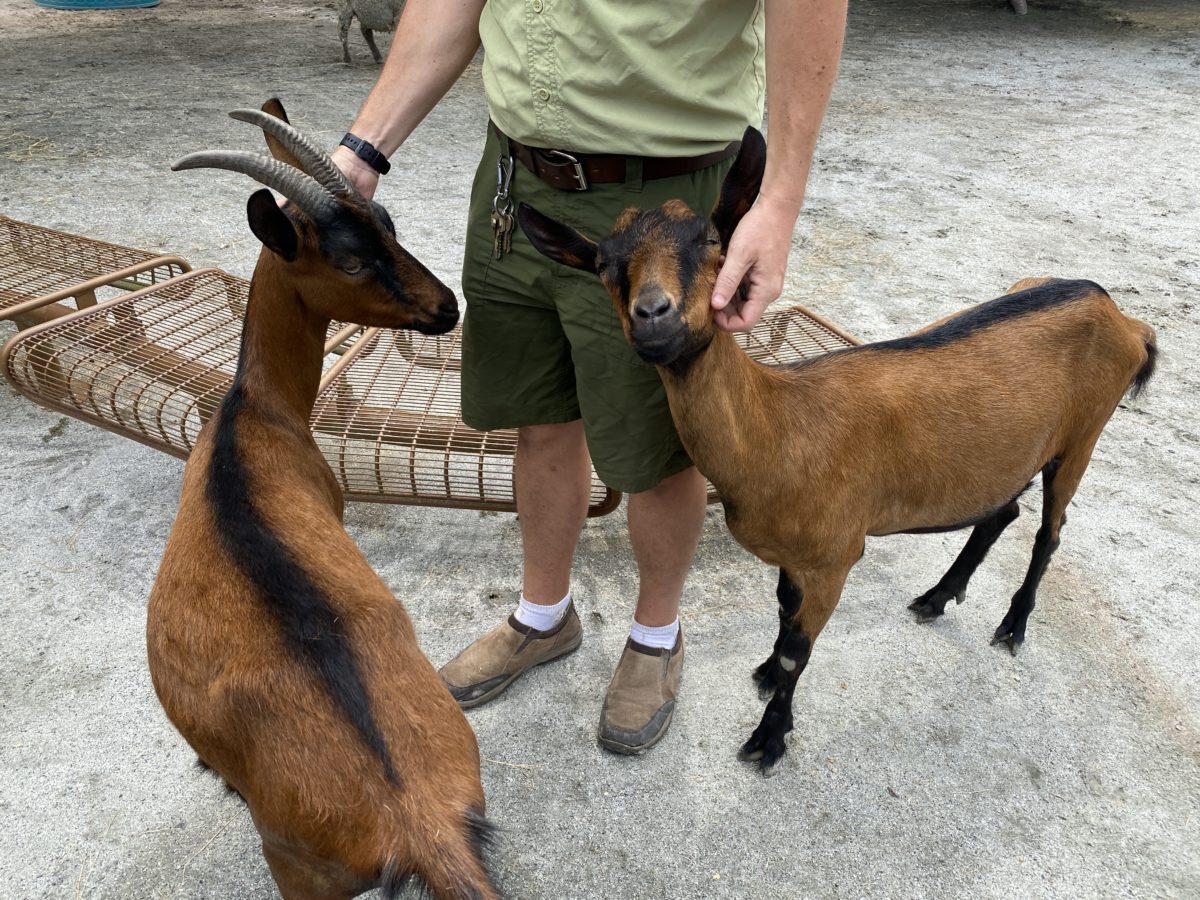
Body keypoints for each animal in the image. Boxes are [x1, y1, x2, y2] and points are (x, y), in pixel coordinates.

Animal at [147, 102, 499, 897]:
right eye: (353, 258)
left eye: (388, 222)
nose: (446, 307)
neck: (255, 413)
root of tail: (418, 821)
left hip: (294, 866)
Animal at [520, 125, 1156, 777]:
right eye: (604, 263)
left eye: (711, 241)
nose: (653, 316)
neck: (779, 428)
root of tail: (1122, 316)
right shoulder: (794, 554)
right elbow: (783, 615)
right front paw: (765, 673)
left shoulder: (836, 554)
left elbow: (800, 650)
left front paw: (768, 738)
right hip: (1012, 455)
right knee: (1002, 510)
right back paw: (937, 597)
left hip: (1084, 434)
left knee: (1050, 530)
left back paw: (1013, 625)